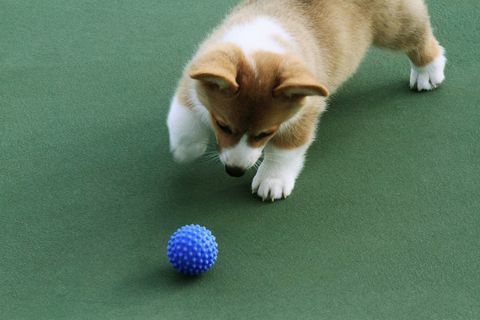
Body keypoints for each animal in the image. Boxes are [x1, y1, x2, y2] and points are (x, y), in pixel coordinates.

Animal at [166, 0, 446, 200]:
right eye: (222, 125)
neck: (261, 45)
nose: (234, 171)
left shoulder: (302, 116)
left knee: (419, 35)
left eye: (264, 134)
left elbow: (283, 151)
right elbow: (183, 116)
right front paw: (186, 148)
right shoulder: (193, 78)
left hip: (394, 25)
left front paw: (272, 181)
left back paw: (428, 71)